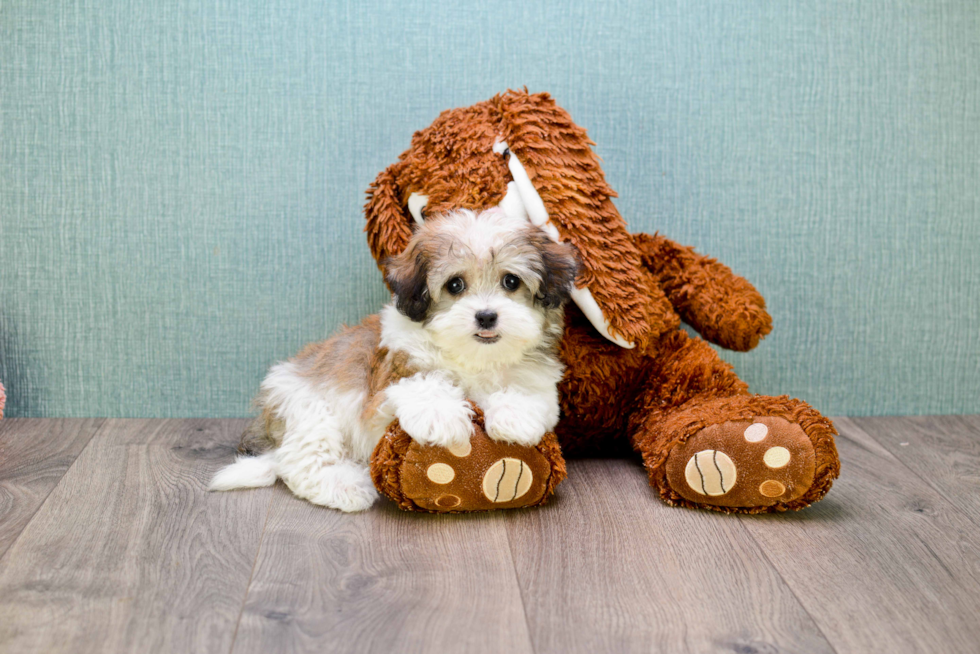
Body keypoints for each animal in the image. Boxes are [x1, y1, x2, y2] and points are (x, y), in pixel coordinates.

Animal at [207, 209, 576, 512]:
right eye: (455, 284)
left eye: (511, 281)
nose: (486, 316)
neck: (474, 359)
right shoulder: (391, 376)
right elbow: (422, 383)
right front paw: (442, 415)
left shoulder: (539, 380)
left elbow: (527, 392)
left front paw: (516, 416)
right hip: (309, 410)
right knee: (300, 462)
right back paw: (345, 486)